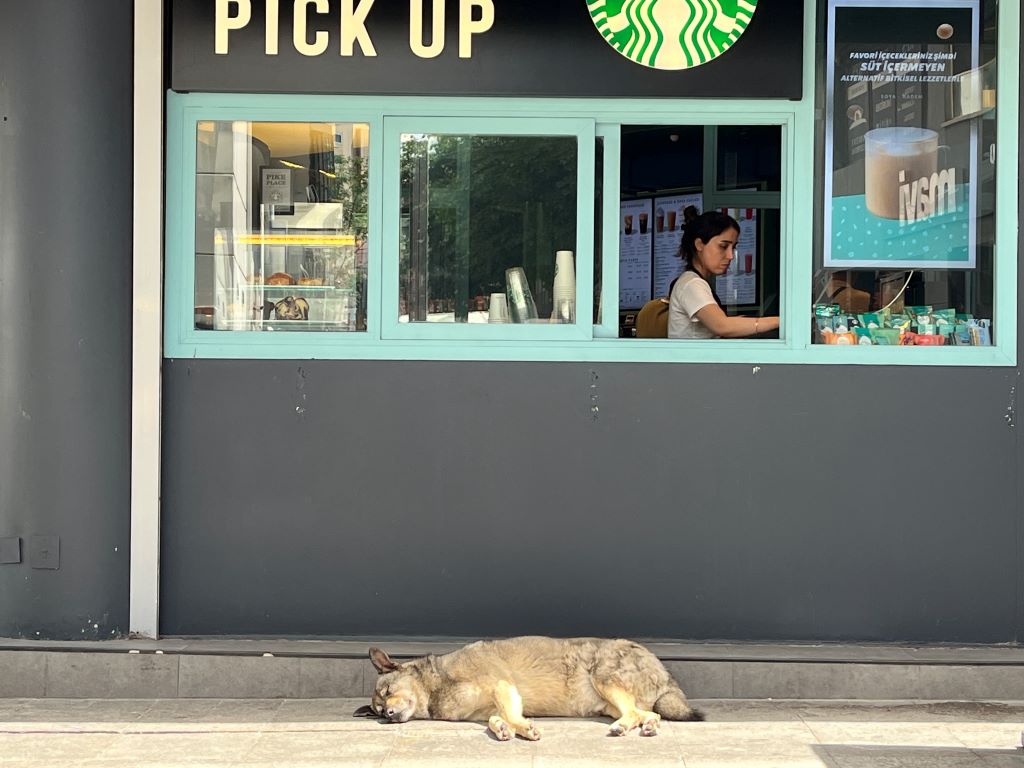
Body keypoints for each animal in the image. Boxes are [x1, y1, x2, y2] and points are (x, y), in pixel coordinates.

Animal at [354, 638, 704, 741]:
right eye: (377, 712)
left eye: (387, 690)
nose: (387, 714)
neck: (436, 684)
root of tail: (664, 671)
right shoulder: (495, 704)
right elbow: (497, 720)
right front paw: (505, 730)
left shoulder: (502, 686)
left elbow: (509, 715)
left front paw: (522, 729)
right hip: (608, 701)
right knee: (648, 713)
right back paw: (648, 725)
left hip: (604, 679)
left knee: (634, 712)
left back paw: (624, 727)